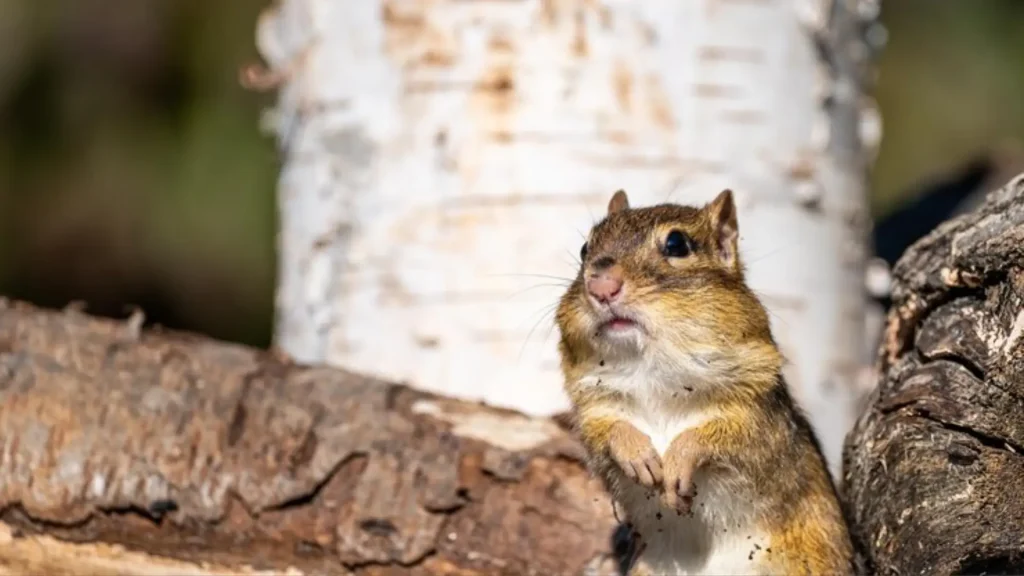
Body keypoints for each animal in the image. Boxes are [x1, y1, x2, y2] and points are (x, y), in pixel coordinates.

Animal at [555, 189, 855, 575]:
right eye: (584, 248)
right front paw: (639, 456)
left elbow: (716, 436)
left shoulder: (755, 418)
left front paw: (678, 460)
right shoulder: (594, 410)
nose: (601, 286)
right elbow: (610, 431)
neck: (650, 370)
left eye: (677, 244)